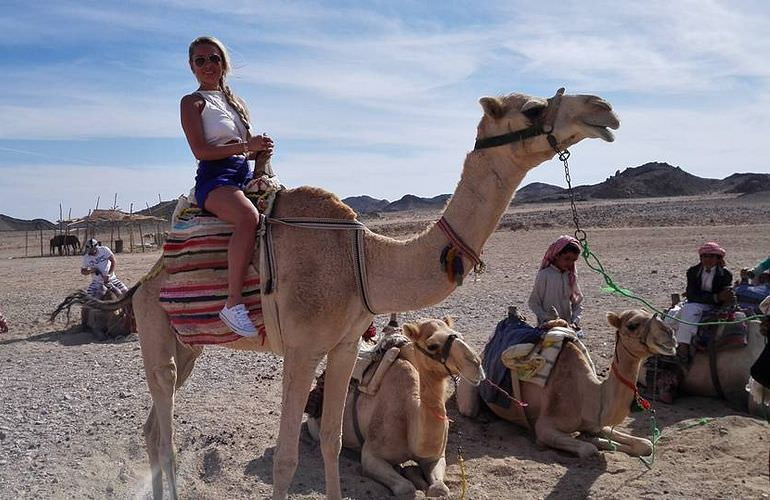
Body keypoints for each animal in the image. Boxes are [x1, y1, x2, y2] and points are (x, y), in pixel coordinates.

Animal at [304, 316, 480, 496]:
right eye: (432, 345)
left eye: (460, 335)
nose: (476, 364)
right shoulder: (371, 455)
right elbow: (405, 487)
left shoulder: (437, 457)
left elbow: (440, 488)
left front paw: (416, 475)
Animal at [456, 308, 672, 458]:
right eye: (632, 325)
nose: (669, 334)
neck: (590, 396)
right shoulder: (545, 426)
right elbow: (588, 449)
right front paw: (593, 442)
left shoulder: (595, 422)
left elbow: (646, 445)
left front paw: (597, 438)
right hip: (472, 385)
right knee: (468, 407)